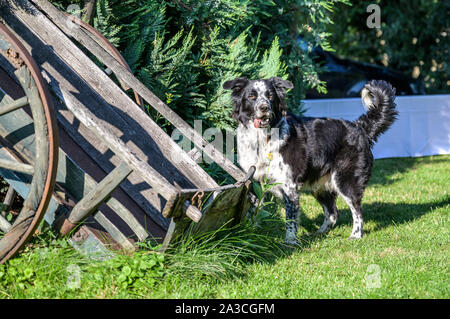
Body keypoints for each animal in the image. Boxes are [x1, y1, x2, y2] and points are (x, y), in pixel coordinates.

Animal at [223, 77, 396, 245]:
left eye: (270, 96)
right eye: (252, 97)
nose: (264, 107)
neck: (262, 140)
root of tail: (359, 127)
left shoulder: (290, 187)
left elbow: (291, 219)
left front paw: (290, 242)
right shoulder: (255, 183)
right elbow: (252, 212)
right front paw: (250, 233)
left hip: (345, 181)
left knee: (357, 210)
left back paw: (355, 235)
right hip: (320, 186)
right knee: (333, 213)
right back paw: (320, 233)